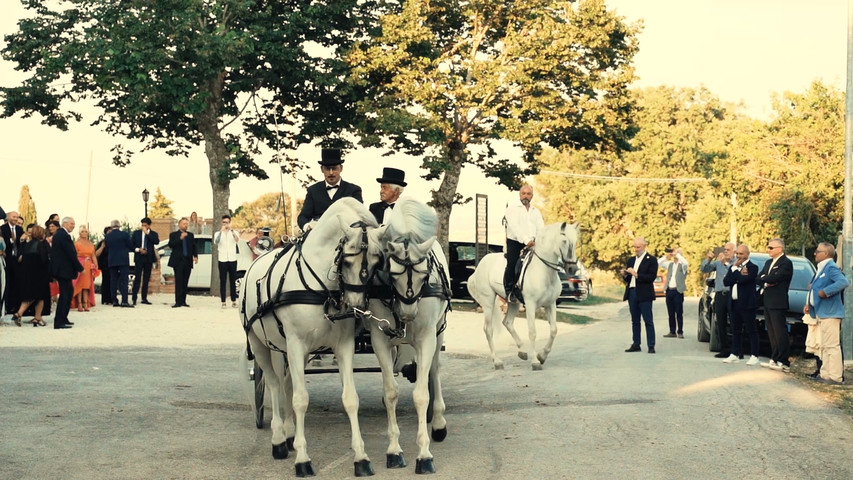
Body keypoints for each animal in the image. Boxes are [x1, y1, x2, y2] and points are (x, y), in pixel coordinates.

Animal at [238, 198, 382, 476]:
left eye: (376, 262)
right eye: (347, 261)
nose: (356, 305)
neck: (321, 289)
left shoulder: (343, 346)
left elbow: (350, 399)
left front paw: (361, 458)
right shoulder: (295, 344)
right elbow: (301, 399)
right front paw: (303, 460)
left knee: (286, 384)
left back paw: (289, 435)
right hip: (260, 344)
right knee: (274, 384)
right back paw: (279, 440)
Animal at [362, 198, 450, 472]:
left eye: (425, 274)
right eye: (393, 273)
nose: (408, 313)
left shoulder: (426, 338)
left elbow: (421, 395)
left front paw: (424, 455)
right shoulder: (380, 339)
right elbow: (391, 392)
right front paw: (394, 450)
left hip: (438, 333)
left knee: (435, 370)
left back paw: (439, 423)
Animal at [466, 223, 580, 370]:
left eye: (576, 241)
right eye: (564, 241)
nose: (573, 269)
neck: (543, 271)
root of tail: (479, 266)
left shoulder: (550, 304)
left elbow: (554, 330)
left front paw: (542, 356)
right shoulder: (531, 304)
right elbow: (532, 332)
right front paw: (535, 361)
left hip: (513, 302)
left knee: (507, 322)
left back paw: (522, 351)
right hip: (488, 302)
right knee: (489, 329)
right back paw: (497, 361)